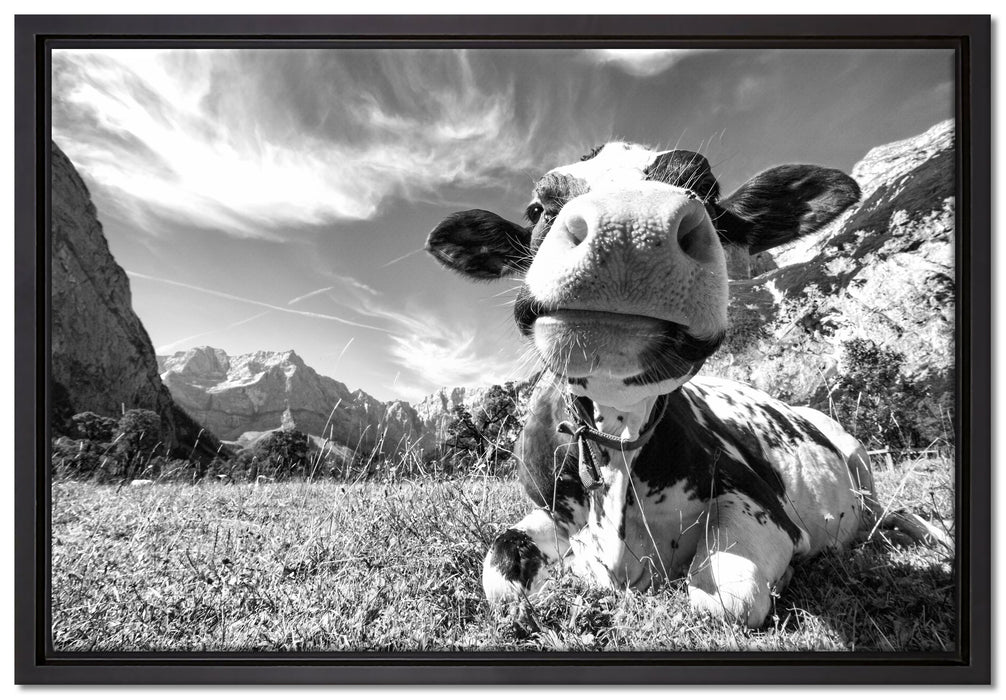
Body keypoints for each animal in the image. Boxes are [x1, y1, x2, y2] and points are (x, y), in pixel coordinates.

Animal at [425, 142, 932, 627]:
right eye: (536, 208)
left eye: (707, 190)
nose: (629, 226)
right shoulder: (547, 512)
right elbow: (501, 572)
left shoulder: (765, 506)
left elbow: (726, 599)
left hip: (856, 455)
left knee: (889, 513)